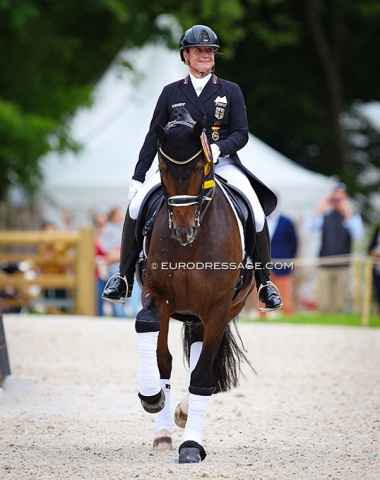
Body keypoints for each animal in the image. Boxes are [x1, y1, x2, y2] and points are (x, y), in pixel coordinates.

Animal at [134, 109, 255, 464]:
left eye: (201, 166)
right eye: (161, 168)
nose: (183, 231)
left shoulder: (217, 308)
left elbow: (202, 377)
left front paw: (191, 446)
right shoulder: (156, 295)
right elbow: (155, 346)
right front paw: (151, 397)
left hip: (219, 312)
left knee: (204, 363)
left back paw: (186, 416)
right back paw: (164, 429)